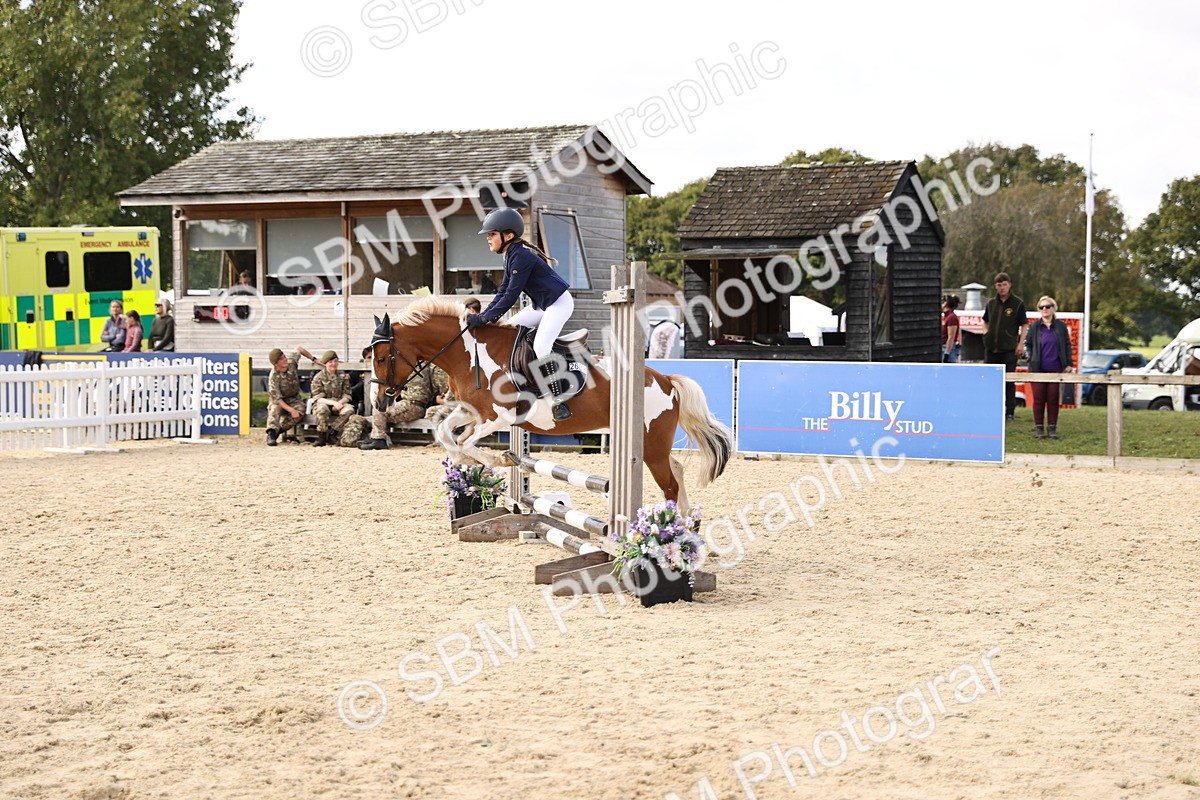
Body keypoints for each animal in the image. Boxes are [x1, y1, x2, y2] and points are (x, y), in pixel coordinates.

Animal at [365, 297, 732, 511]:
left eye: (382, 357)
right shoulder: (471, 411)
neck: (470, 353)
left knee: (669, 483)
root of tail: (666, 380)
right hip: (652, 443)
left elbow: (466, 441)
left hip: (651, 445)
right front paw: (469, 467)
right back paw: (690, 522)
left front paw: (501, 459)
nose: (379, 402)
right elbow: (445, 433)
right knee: (678, 470)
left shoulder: (499, 417)